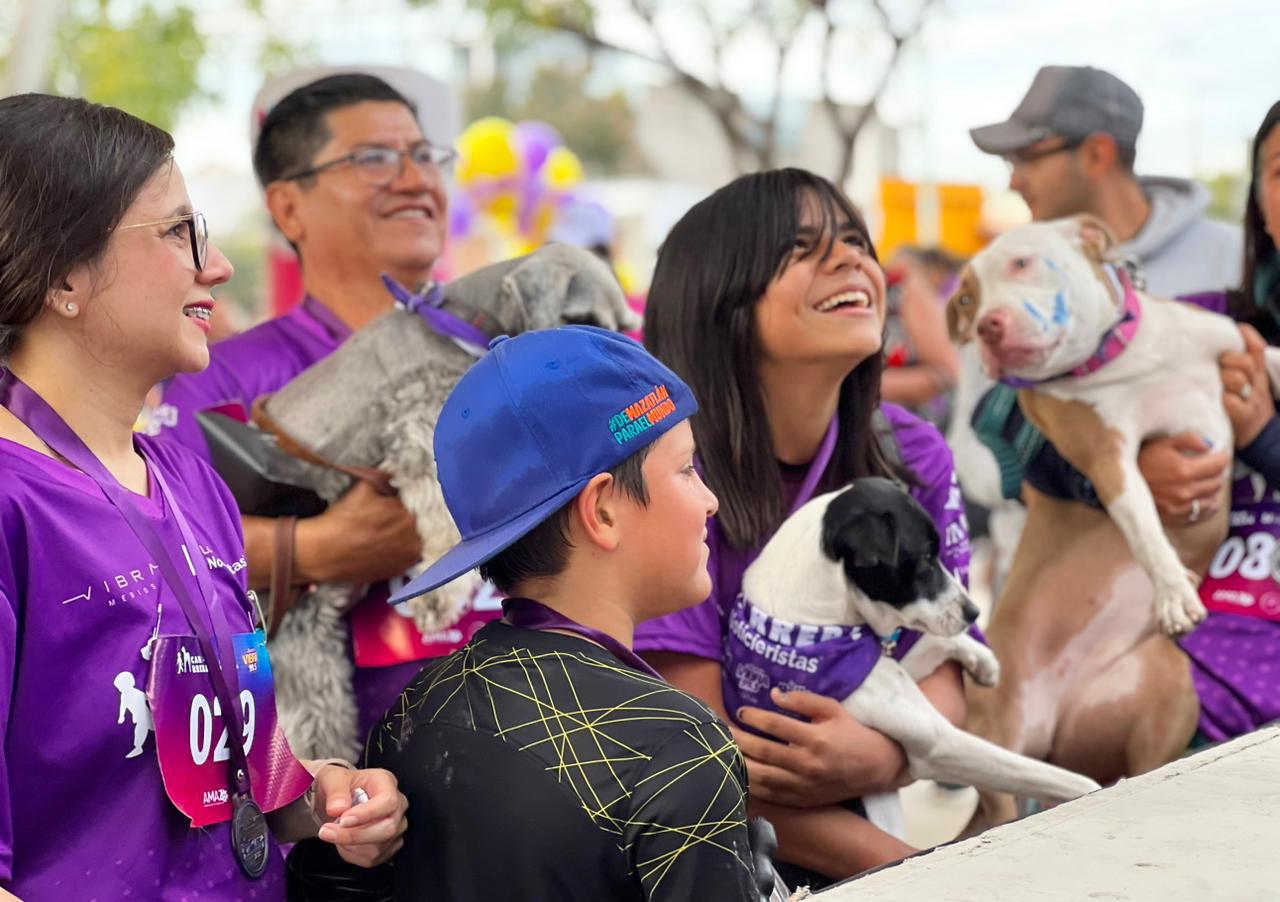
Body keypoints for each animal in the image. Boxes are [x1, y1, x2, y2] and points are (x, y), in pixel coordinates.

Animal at [257, 243, 640, 757]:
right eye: (581, 318)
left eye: (626, 325)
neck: (461, 323)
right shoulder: (421, 426)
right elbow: (443, 513)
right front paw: (438, 598)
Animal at [732, 478, 1100, 823]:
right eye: (925, 560)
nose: (974, 613)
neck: (810, 627)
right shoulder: (937, 741)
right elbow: (1043, 774)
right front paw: (1094, 794)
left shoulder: (892, 664)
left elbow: (931, 642)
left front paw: (982, 660)